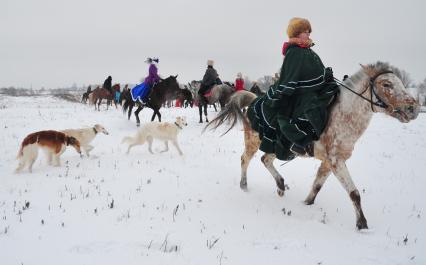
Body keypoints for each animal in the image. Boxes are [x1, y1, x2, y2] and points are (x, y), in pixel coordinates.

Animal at [206, 62, 420, 229]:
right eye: (386, 84)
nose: (413, 108)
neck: (343, 116)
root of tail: (252, 101)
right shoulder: (336, 162)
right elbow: (354, 193)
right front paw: (362, 224)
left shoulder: (328, 162)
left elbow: (317, 185)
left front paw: (306, 203)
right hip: (254, 142)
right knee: (245, 159)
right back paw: (244, 185)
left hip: (279, 147)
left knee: (265, 159)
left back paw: (280, 185)